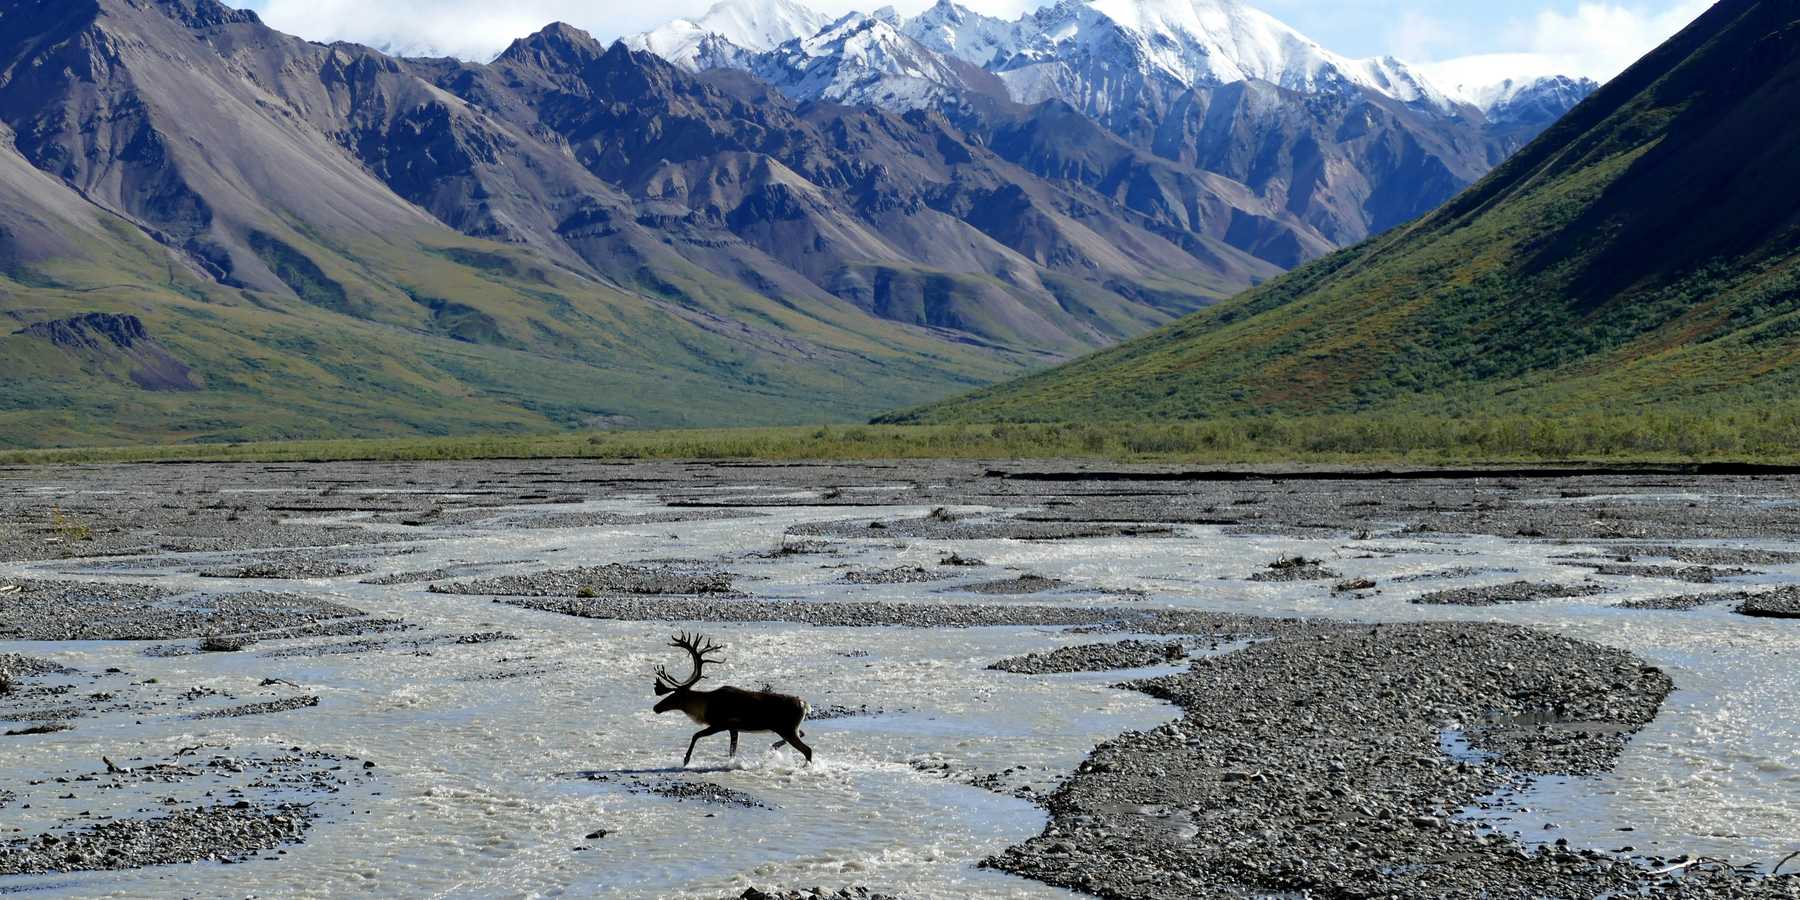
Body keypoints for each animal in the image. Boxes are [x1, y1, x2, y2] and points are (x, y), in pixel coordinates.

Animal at [651, 632, 813, 766]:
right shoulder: (733, 728)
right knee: (803, 734)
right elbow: (732, 751)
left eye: (675, 696)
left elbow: (696, 735)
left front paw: (686, 760)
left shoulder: (721, 723)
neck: (705, 706)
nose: (655, 707)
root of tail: (805, 704)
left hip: (787, 729)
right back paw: (773, 748)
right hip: (788, 728)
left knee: (808, 750)